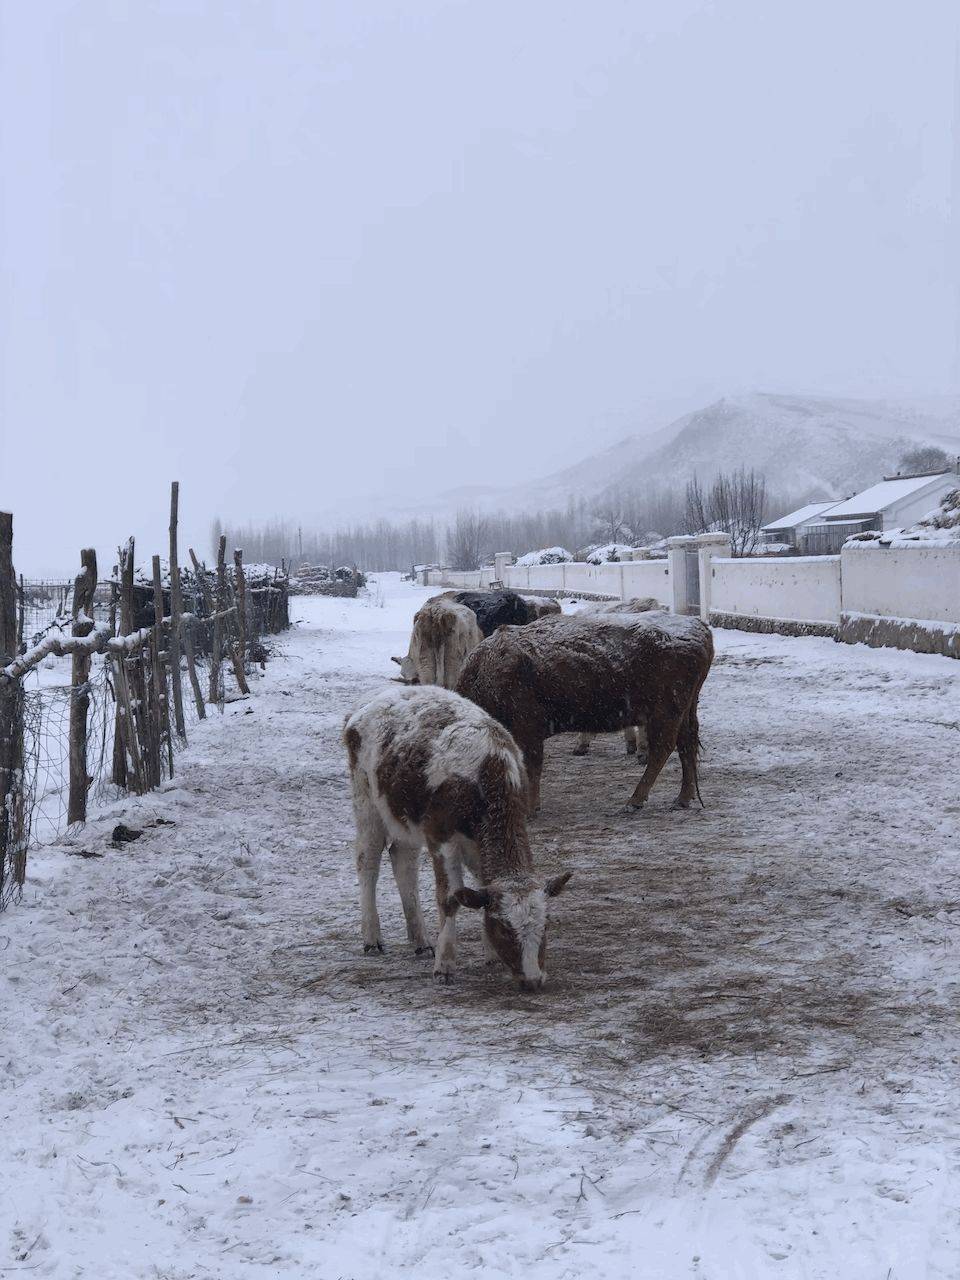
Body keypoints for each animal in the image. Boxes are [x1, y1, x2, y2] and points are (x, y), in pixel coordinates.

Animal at [343, 691, 570, 988]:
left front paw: (490, 954)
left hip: (405, 819)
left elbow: (482, 888)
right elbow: (450, 898)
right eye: (504, 927)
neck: (487, 772)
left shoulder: (474, 845)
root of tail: (366, 704)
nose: (532, 979)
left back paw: (421, 940)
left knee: (403, 862)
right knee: (368, 861)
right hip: (367, 805)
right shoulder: (442, 839)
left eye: (545, 925)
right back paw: (372, 937)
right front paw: (445, 965)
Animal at [458, 609, 716, 808]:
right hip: (682, 711)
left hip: (665, 712)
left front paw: (531, 806)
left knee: (664, 749)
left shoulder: (528, 729)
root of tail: (699, 627)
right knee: (686, 745)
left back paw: (634, 801)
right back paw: (682, 799)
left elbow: (531, 767)